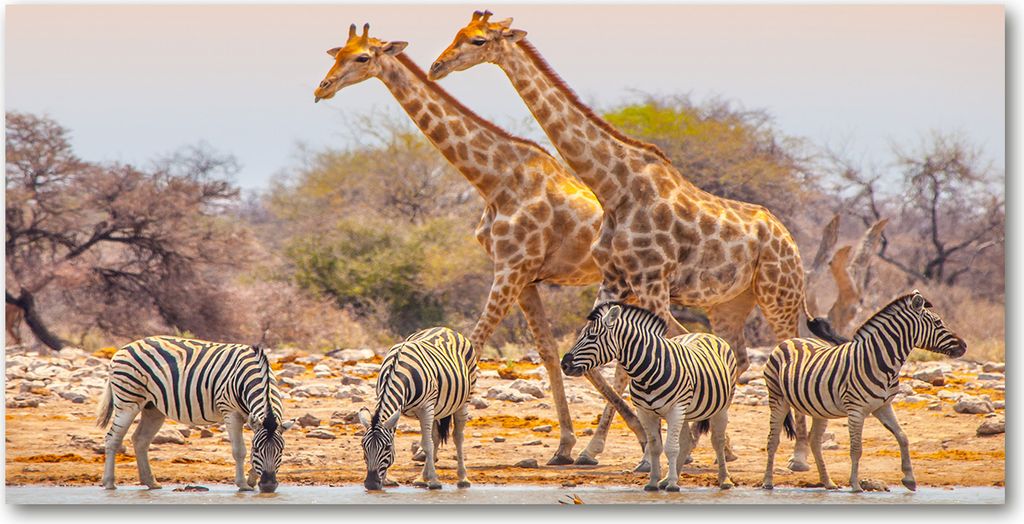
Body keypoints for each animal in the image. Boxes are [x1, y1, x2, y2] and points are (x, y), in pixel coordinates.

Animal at [96, 336, 290, 493]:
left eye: (281, 450)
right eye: (258, 449)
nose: (268, 486)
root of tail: (124, 347)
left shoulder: (250, 418)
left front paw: (251, 480)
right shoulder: (231, 412)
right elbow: (239, 450)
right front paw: (243, 484)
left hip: (153, 408)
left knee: (140, 440)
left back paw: (151, 482)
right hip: (127, 401)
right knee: (113, 439)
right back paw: (109, 483)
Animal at [357, 326, 477, 491]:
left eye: (387, 447)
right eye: (363, 446)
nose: (371, 484)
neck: (399, 370)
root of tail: (445, 328)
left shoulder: (425, 407)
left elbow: (426, 445)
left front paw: (435, 481)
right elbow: (428, 443)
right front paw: (387, 480)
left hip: (463, 400)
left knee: (457, 436)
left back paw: (462, 478)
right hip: (436, 408)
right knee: (435, 437)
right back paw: (422, 478)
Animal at [560, 303, 737, 491]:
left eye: (592, 337)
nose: (564, 364)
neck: (646, 373)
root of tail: (704, 333)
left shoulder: (675, 409)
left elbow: (671, 448)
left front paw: (673, 485)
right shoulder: (645, 412)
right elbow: (655, 447)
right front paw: (654, 483)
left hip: (720, 407)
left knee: (716, 441)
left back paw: (724, 480)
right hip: (686, 411)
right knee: (687, 442)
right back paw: (666, 480)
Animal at [761, 290, 966, 492]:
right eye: (938, 322)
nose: (964, 345)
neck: (881, 362)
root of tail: (791, 339)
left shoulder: (883, 406)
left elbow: (903, 437)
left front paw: (909, 479)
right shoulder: (856, 410)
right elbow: (856, 448)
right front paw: (855, 485)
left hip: (818, 408)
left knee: (815, 441)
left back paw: (828, 482)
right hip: (777, 398)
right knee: (773, 440)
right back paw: (768, 482)